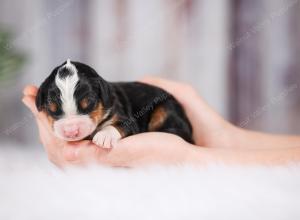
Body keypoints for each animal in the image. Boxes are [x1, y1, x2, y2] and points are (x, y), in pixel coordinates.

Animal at [35, 59, 195, 148]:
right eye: (52, 109)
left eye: (89, 104)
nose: (71, 132)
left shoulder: (128, 119)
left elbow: (120, 125)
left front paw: (104, 136)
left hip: (166, 109)